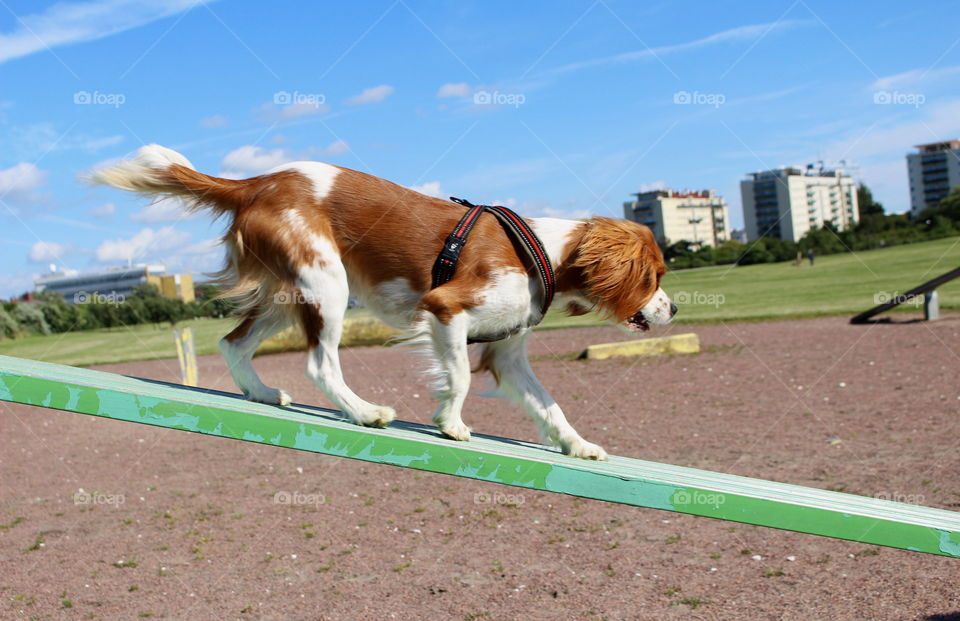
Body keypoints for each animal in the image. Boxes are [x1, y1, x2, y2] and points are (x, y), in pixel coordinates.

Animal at [92, 143, 676, 458]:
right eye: (655, 277)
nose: (673, 309)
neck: (545, 250)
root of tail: (254, 182)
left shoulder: (508, 355)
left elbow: (551, 405)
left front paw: (579, 446)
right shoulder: (445, 309)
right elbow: (458, 378)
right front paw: (450, 422)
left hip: (289, 292)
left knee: (233, 343)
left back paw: (261, 393)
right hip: (326, 284)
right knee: (320, 363)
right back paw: (366, 412)